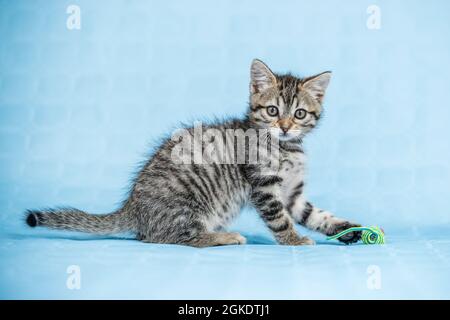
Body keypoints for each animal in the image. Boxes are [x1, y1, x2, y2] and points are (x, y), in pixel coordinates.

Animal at [25, 58, 362, 246]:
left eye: (300, 114)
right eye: (272, 110)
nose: (286, 127)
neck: (286, 147)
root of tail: (133, 207)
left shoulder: (292, 193)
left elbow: (313, 214)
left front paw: (349, 230)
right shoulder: (265, 187)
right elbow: (280, 218)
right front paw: (294, 240)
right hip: (187, 202)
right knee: (170, 237)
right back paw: (224, 237)